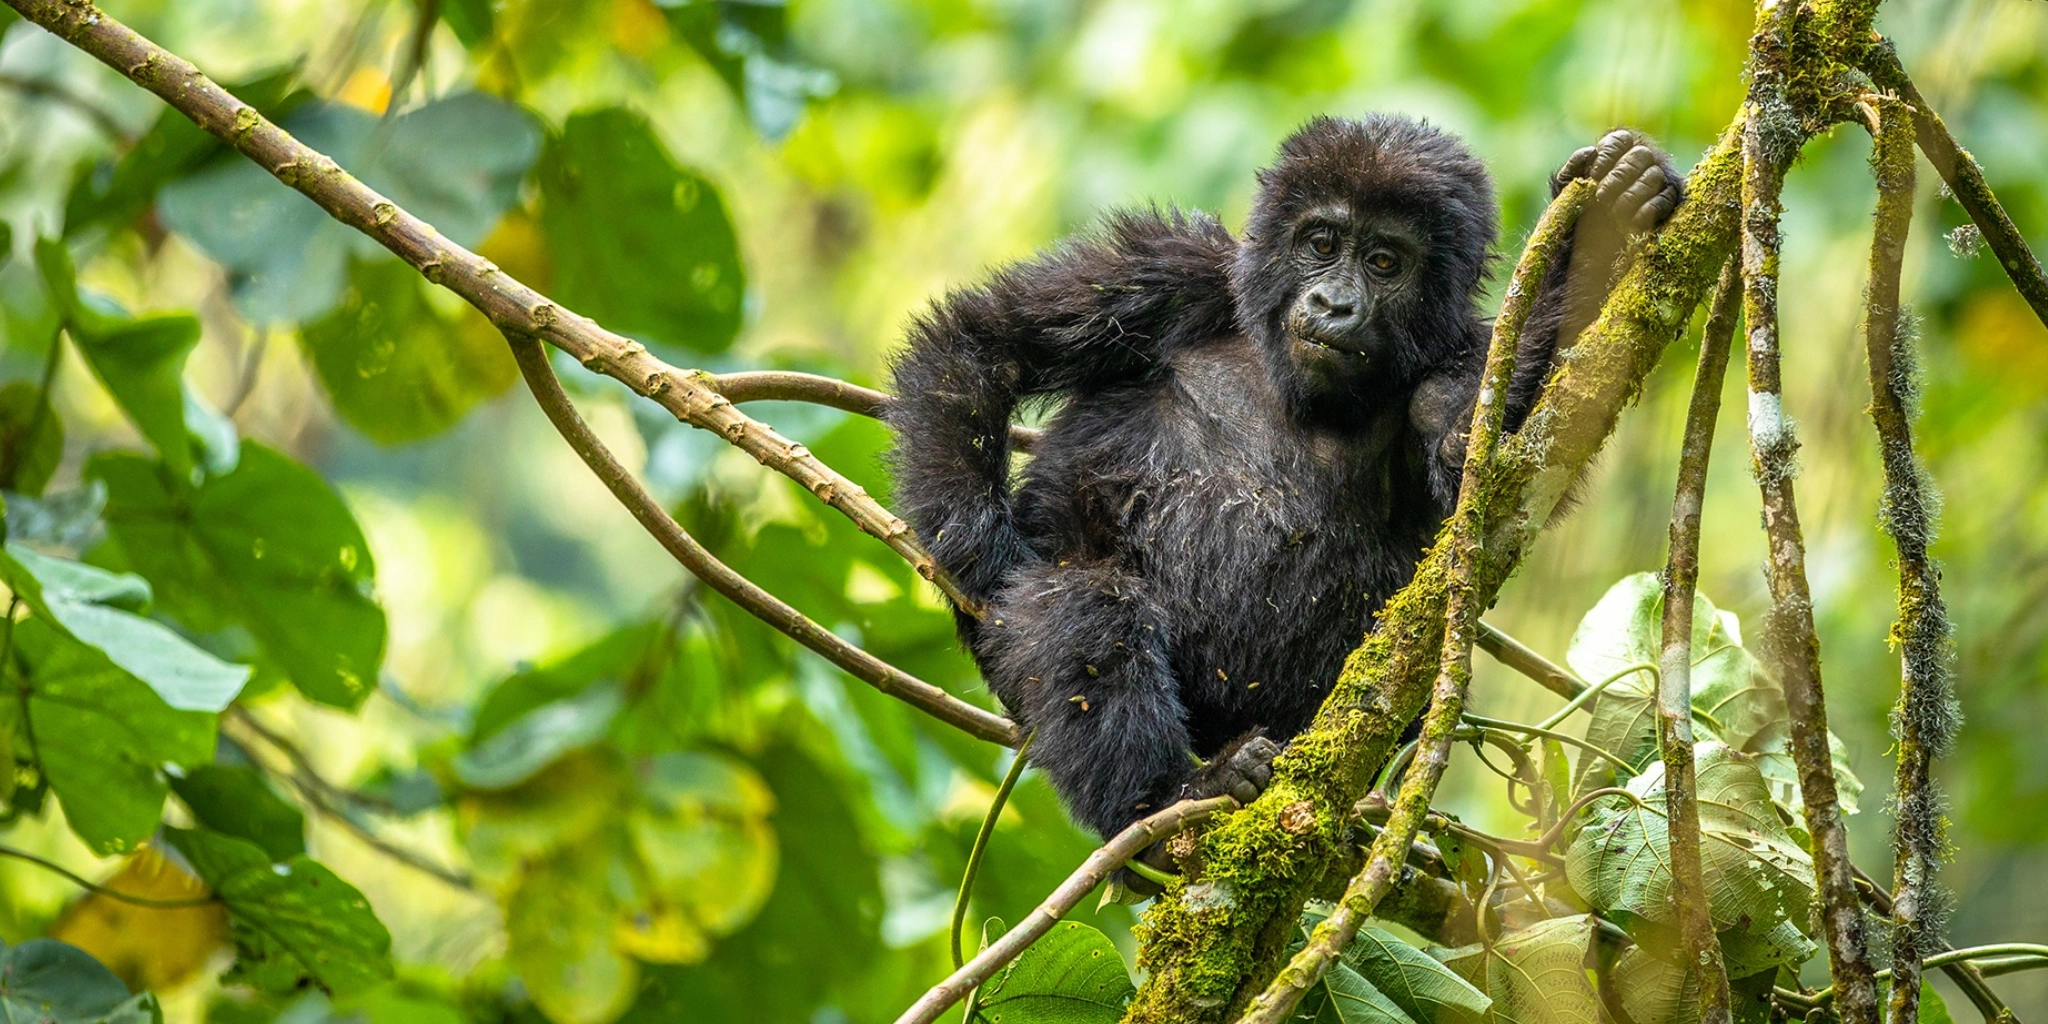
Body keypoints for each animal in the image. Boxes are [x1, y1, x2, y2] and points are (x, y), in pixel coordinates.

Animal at [886, 116, 1681, 840]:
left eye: (1385, 262)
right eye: (1321, 244)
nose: (1333, 304)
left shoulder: (1466, 357)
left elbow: (1488, 464)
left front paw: (1604, 225)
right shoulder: (1173, 268)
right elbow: (987, 342)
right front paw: (980, 551)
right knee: (1081, 606)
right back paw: (1168, 797)